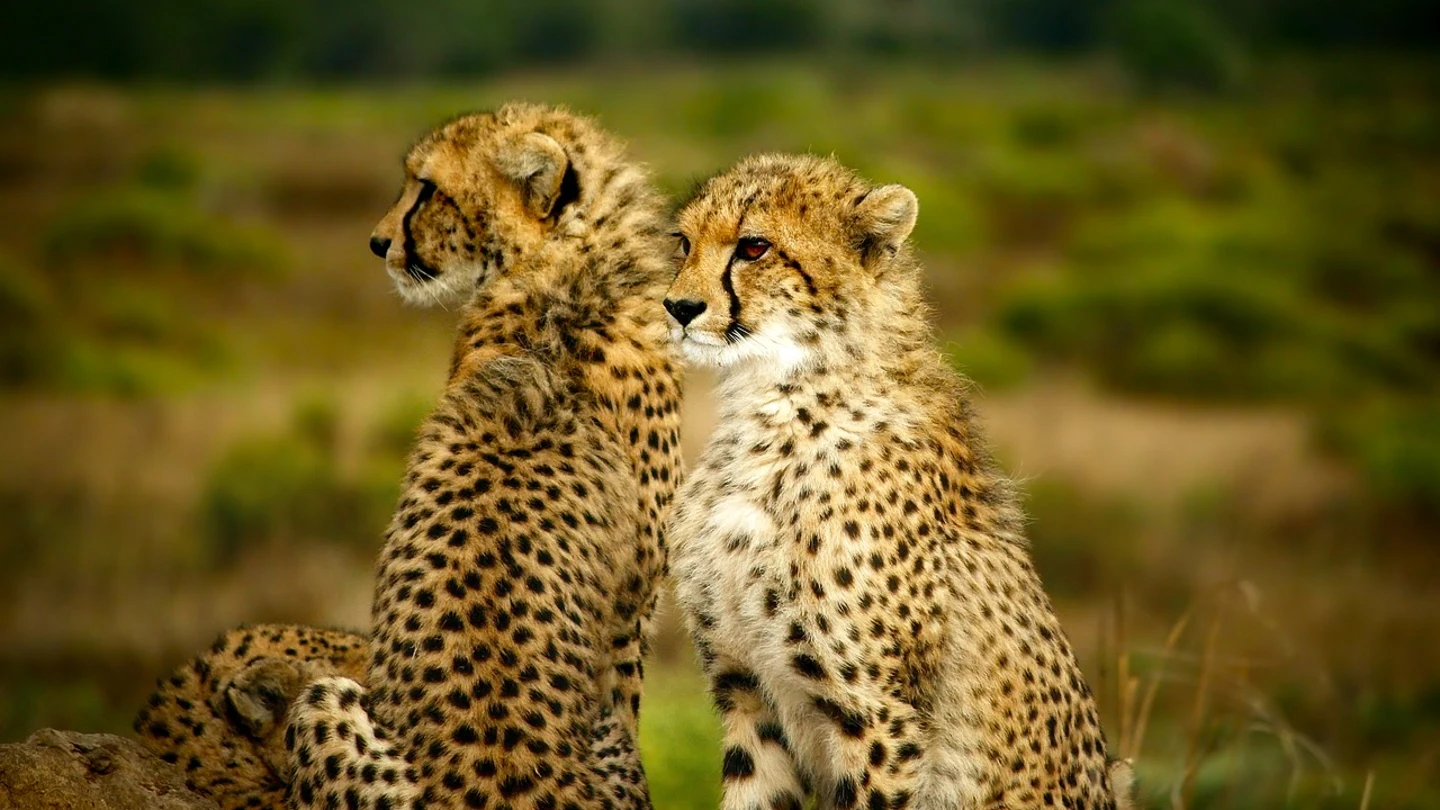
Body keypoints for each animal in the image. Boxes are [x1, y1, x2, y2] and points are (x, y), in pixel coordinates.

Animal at [663, 153, 1134, 810]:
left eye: (754, 247)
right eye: (683, 243)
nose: (677, 307)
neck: (772, 403)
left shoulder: (879, 719)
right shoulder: (745, 691)